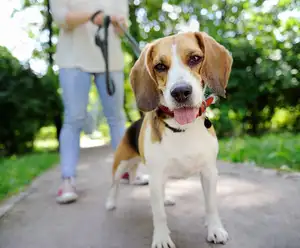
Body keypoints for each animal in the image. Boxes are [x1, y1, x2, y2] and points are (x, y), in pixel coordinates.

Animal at [106, 31, 233, 248]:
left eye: (195, 58)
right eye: (160, 66)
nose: (180, 92)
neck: (182, 128)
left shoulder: (209, 173)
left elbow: (211, 205)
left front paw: (215, 229)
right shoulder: (156, 175)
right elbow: (159, 215)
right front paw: (162, 238)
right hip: (120, 164)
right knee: (115, 185)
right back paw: (111, 202)